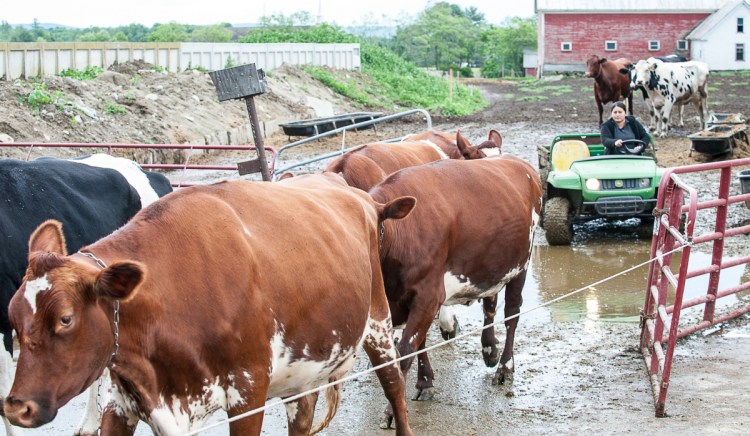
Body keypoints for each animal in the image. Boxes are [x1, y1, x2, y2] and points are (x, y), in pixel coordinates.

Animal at [368, 156, 542, 400]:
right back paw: (489, 349)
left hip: (521, 265)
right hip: (490, 264)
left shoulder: (428, 296)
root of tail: (519, 163)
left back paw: (505, 368)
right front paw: (425, 381)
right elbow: (419, 342)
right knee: (490, 305)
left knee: (511, 315)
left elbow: (406, 350)